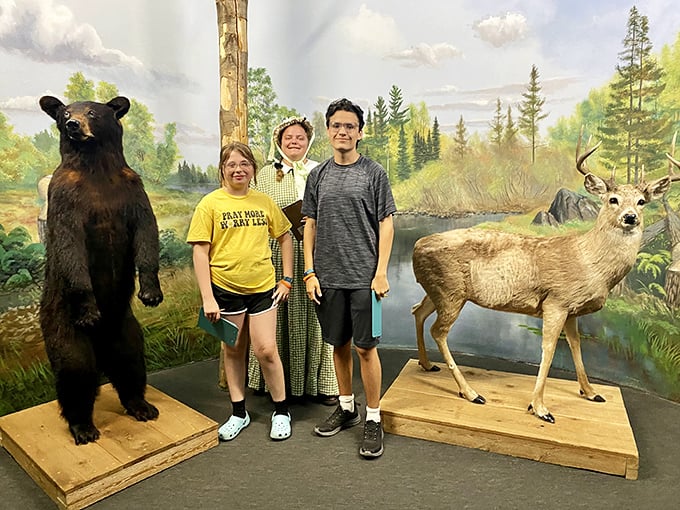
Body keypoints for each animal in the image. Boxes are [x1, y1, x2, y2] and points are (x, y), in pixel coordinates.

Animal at [39, 93, 164, 444]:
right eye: (65, 112)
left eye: (92, 112)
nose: (73, 124)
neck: (96, 169)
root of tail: (102, 345)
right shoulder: (65, 197)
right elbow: (70, 246)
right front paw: (88, 307)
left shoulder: (132, 190)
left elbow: (147, 232)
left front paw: (151, 292)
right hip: (63, 327)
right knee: (76, 373)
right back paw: (83, 427)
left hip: (126, 328)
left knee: (131, 362)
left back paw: (142, 406)